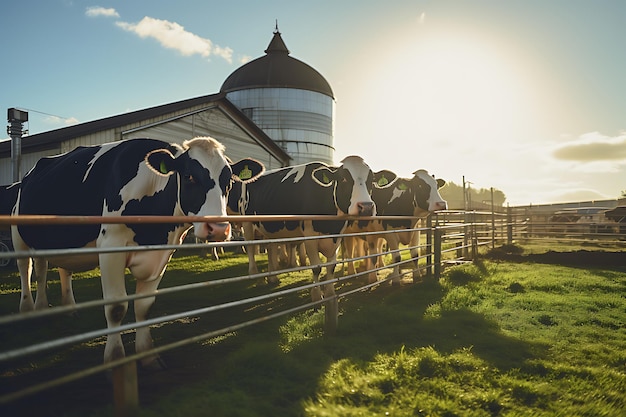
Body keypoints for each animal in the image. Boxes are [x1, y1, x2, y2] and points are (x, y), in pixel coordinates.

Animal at [12, 137, 262, 368]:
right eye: (190, 176)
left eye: (228, 182)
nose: (218, 229)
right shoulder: (111, 247)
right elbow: (116, 308)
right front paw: (115, 360)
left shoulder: (161, 253)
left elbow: (144, 306)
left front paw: (147, 355)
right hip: (19, 235)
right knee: (27, 269)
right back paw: (28, 310)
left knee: (52, 268)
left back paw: (60, 308)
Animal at [227, 156, 392, 324]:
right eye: (344, 178)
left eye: (371, 180)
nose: (366, 207)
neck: (329, 222)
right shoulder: (310, 236)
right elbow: (316, 268)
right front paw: (316, 299)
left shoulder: (337, 236)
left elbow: (331, 267)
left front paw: (330, 295)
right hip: (247, 222)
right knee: (250, 247)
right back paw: (256, 276)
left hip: (269, 227)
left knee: (271, 247)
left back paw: (272, 277)